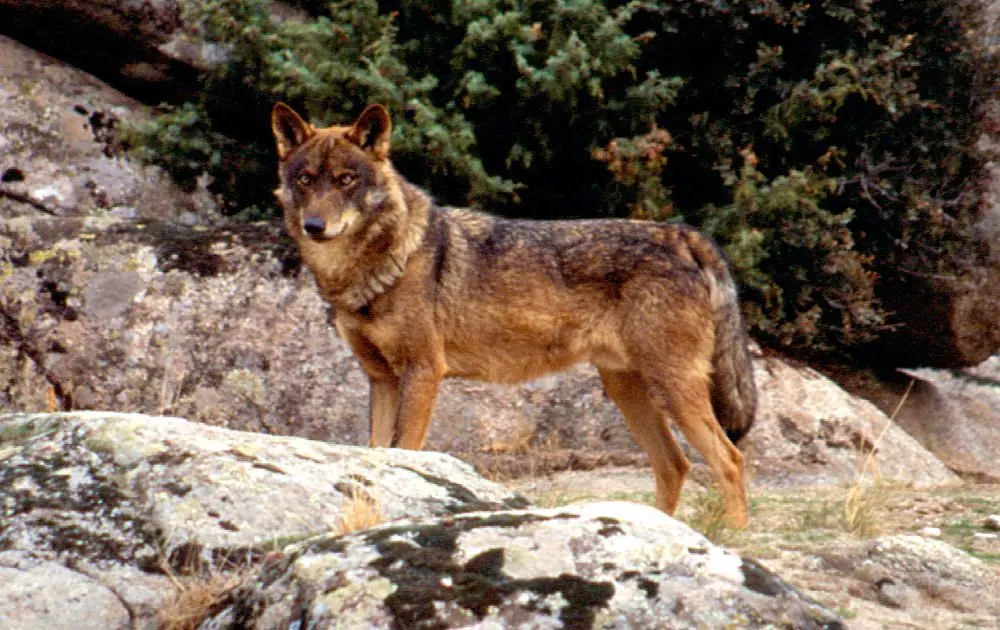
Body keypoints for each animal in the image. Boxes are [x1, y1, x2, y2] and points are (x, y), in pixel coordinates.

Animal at [271, 103, 758, 526]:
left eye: (346, 180)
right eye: (307, 179)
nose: (315, 227)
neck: (373, 267)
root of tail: (682, 234)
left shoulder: (424, 371)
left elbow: (404, 450)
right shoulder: (382, 380)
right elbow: (377, 455)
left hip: (673, 388)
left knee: (731, 460)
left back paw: (735, 538)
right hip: (630, 391)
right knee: (675, 465)